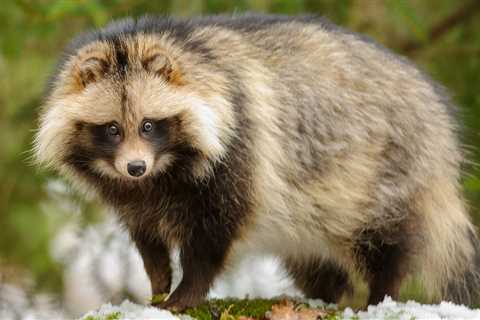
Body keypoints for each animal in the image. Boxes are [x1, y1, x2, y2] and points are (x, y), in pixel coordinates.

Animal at [34, 15, 480, 310]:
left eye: (148, 125)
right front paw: (158, 284)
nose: (135, 168)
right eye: (112, 129)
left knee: (389, 240)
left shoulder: (241, 148)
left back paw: (381, 294)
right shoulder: (132, 196)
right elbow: (148, 239)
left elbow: (215, 233)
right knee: (315, 261)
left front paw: (186, 291)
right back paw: (326, 295)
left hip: (387, 169)